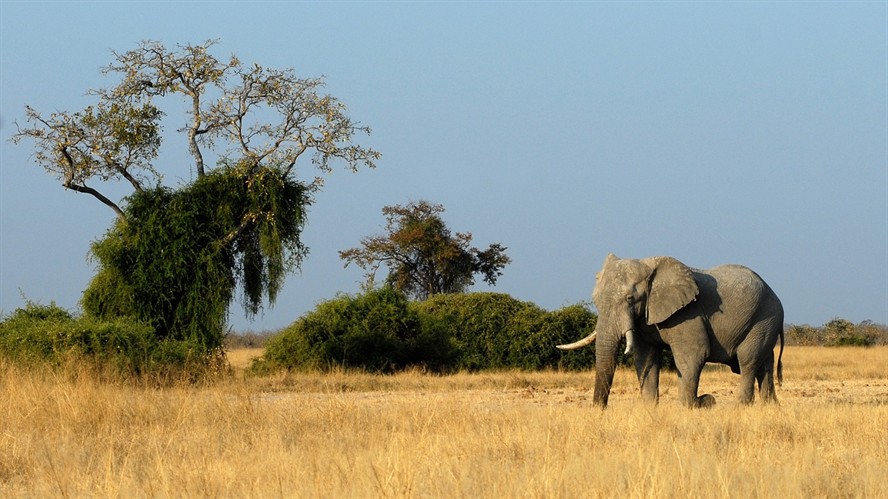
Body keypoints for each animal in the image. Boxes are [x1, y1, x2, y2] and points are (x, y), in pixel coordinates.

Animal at [558, 254, 784, 408]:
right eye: (594, 300)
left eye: (630, 299)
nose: (600, 409)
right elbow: (645, 357)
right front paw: (650, 408)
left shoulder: (688, 313)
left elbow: (693, 355)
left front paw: (700, 403)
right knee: (765, 364)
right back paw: (769, 406)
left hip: (764, 318)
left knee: (748, 361)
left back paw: (742, 406)